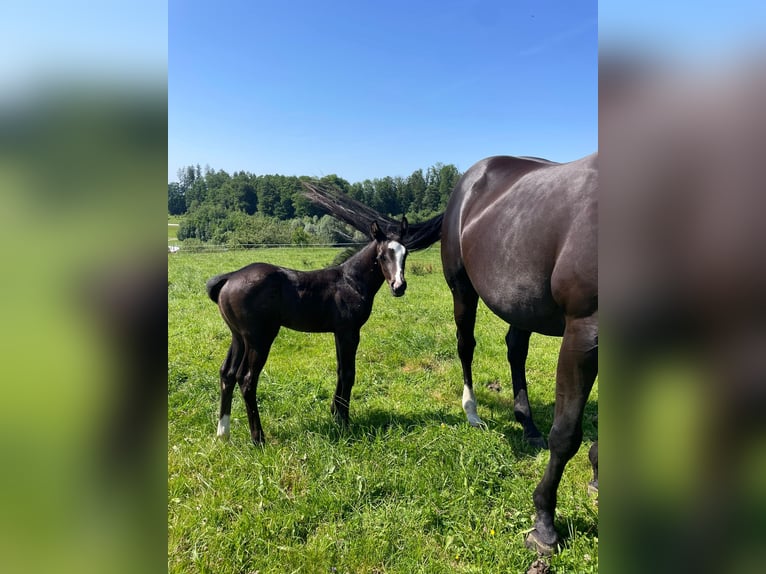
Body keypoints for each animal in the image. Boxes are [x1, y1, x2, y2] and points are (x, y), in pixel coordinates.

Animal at [440, 153, 598, 554]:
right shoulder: (583, 333)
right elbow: (566, 434)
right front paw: (544, 524)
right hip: (462, 290)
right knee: (466, 345)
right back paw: (472, 412)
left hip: (520, 303)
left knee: (516, 349)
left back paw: (527, 424)